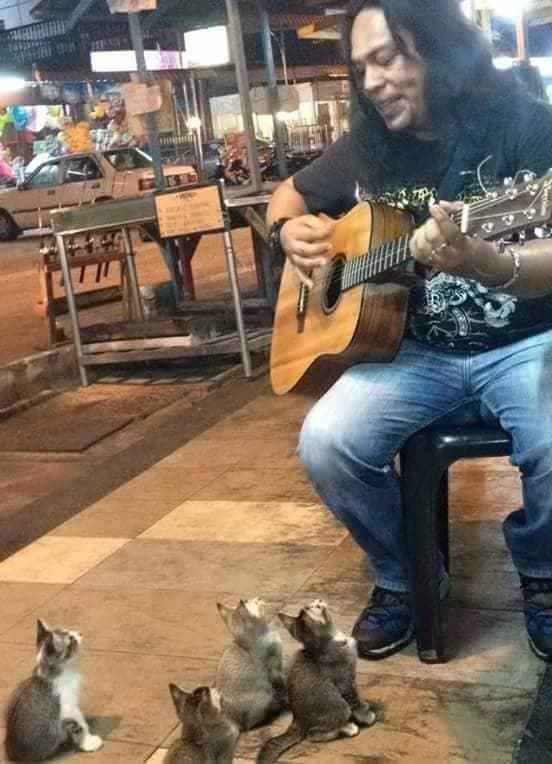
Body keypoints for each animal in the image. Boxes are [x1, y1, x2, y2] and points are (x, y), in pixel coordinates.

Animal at [4, 616, 102, 760]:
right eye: (71, 640)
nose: (80, 633)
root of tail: (11, 752)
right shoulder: (67, 708)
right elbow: (80, 724)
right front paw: (89, 742)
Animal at [215, 596, 286, 728]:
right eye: (248, 601)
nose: (258, 598)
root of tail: (233, 721)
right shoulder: (275, 667)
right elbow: (282, 683)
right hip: (264, 694)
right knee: (252, 724)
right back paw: (275, 711)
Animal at [254, 600, 376, 760]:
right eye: (313, 607)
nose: (318, 600)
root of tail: (298, 719)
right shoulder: (344, 680)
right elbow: (355, 700)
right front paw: (366, 716)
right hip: (340, 707)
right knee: (313, 734)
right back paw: (348, 728)